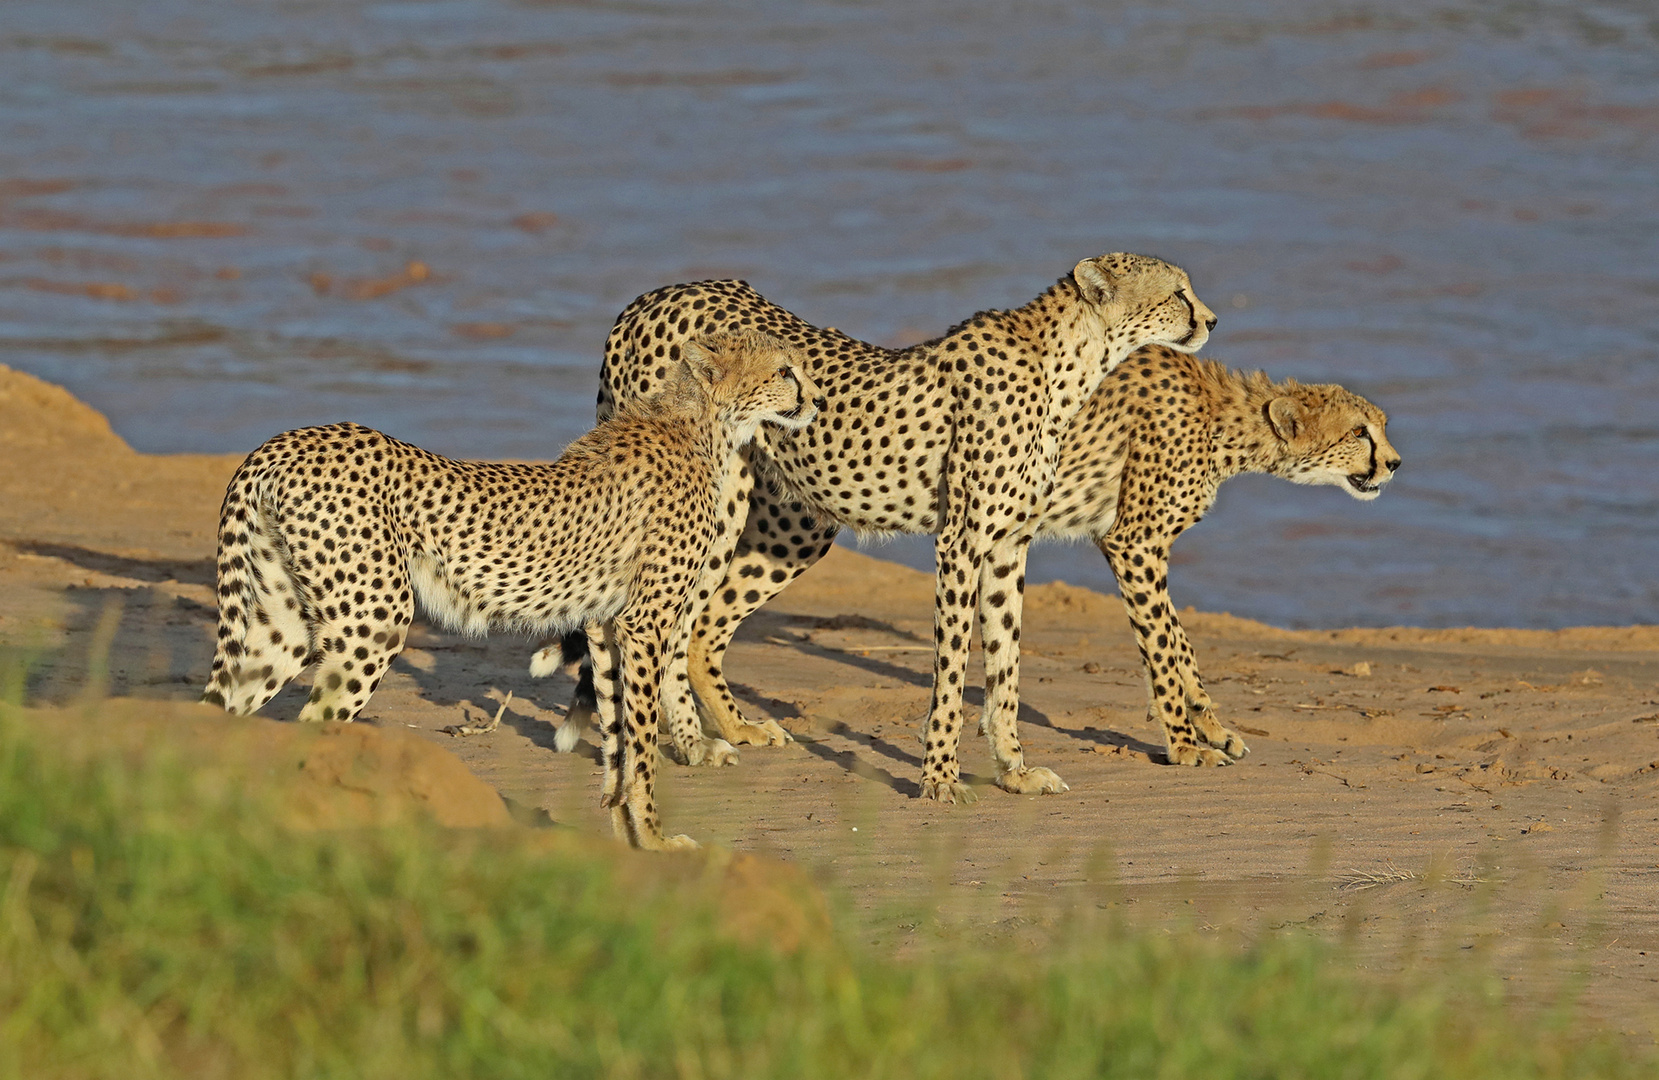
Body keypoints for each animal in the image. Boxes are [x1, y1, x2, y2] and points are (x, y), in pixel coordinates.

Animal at [202, 331, 822, 856]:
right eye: (784, 370)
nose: (814, 400)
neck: (702, 424)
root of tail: (287, 439)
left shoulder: (604, 624)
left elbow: (617, 738)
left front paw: (627, 837)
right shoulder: (643, 623)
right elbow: (642, 744)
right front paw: (656, 840)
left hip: (280, 628)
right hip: (373, 622)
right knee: (315, 723)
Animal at [537, 257, 1214, 802]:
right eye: (1177, 291)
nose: (1210, 320)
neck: (1073, 365)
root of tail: (651, 296)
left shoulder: (1008, 546)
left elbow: (1006, 666)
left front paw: (1015, 771)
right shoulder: (962, 543)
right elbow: (952, 670)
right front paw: (940, 779)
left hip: (791, 525)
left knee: (697, 629)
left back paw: (725, 732)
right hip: (713, 506)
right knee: (660, 624)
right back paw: (683, 742)